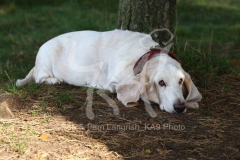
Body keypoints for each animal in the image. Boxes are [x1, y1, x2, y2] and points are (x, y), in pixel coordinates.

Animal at [15, 29, 202, 113]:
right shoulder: (113, 82)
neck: (144, 55)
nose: (180, 107)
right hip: (46, 56)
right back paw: (54, 80)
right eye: (161, 83)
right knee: (40, 78)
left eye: (180, 81)